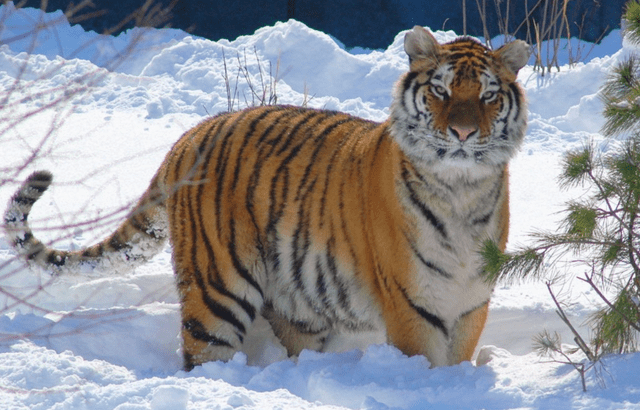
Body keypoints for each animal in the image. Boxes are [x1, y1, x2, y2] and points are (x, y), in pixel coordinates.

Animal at [2, 27, 528, 370]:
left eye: (487, 96)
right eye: (441, 90)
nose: (462, 133)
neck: (461, 191)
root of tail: (188, 137)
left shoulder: (470, 300)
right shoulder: (411, 303)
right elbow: (425, 361)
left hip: (299, 296)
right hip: (217, 290)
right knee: (203, 356)